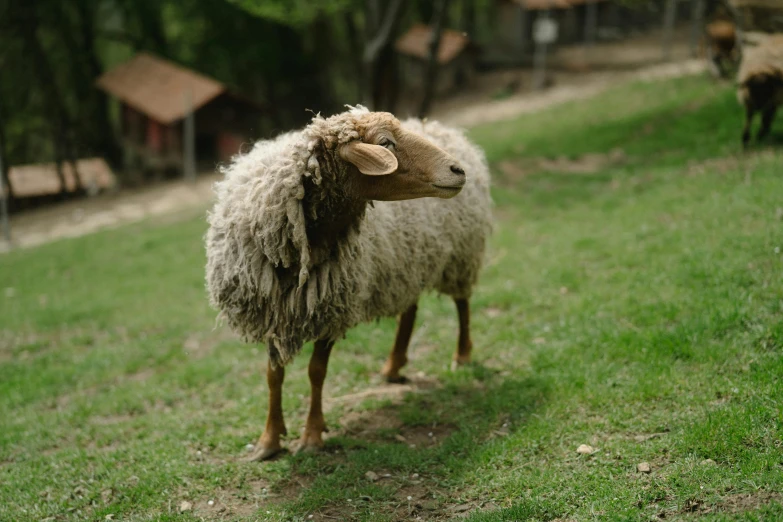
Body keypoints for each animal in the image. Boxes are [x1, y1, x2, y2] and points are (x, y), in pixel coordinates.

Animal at [205, 105, 494, 460]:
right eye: (386, 143)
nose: (457, 170)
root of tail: (444, 128)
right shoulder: (273, 312)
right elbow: (274, 375)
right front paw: (268, 440)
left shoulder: (332, 308)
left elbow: (316, 371)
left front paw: (312, 435)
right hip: (408, 263)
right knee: (410, 309)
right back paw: (393, 366)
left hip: (461, 254)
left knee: (462, 303)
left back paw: (462, 355)